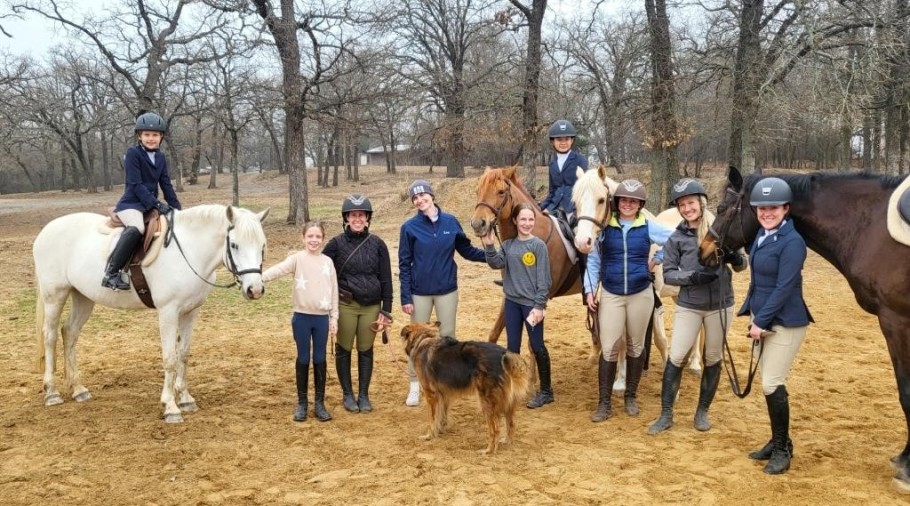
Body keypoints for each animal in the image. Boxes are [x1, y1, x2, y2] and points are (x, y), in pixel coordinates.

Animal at [35, 206, 270, 422]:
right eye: (234, 245)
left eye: (262, 245)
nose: (255, 290)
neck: (190, 250)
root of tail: (46, 230)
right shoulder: (168, 312)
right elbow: (170, 358)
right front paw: (170, 407)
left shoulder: (190, 312)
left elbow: (183, 354)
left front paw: (186, 399)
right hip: (54, 295)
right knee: (50, 336)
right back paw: (52, 393)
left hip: (83, 297)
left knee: (70, 333)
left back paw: (78, 389)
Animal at [400, 322, 536, 456]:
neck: (423, 338)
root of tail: (504, 354)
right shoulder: (443, 394)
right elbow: (441, 414)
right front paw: (441, 430)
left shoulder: (431, 395)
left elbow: (432, 419)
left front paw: (429, 435)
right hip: (508, 403)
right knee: (511, 423)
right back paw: (507, 441)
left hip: (487, 403)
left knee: (495, 430)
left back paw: (488, 450)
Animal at [470, 167, 584, 344]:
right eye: (477, 191)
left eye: (501, 192)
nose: (478, 224)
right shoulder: (510, 294)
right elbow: (494, 333)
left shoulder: (540, 300)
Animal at [700, 168, 910, 492]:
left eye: (722, 209)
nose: (705, 251)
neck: (871, 226)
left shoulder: (896, 320)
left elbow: (906, 392)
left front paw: (906, 468)